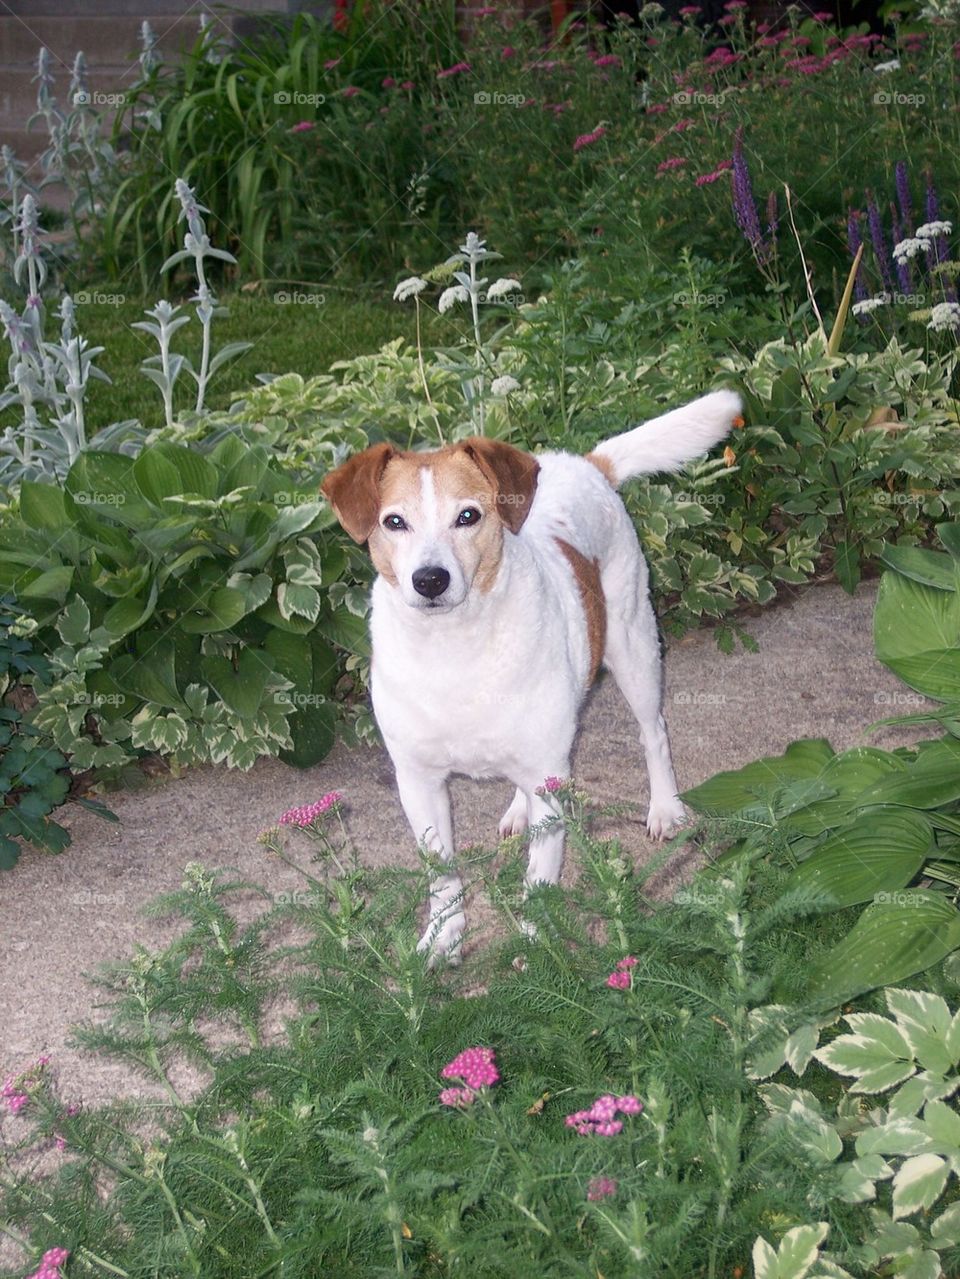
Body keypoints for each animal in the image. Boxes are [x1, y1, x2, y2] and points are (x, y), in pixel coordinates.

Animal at [323, 388, 741, 961]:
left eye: (468, 516)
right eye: (394, 522)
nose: (430, 579)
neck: (455, 651)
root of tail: (587, 462)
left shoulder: (547, 777)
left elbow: (540, 877)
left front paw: (537, 946)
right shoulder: (419, 781)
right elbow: (442, 874)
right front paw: (443, 937)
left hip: (633, 647)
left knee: (653, 732)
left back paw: (665, 807)